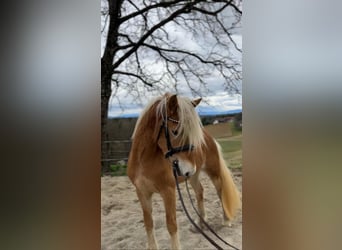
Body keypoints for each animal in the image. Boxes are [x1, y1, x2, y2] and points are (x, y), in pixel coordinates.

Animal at [126, 93, 240, 250]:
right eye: (175, 131)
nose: (188, 169)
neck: (144, 161)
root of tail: (208, 137)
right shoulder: (142, 193)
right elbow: (148, 223)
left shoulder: (168, 191)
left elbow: (171, 224)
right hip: (193, 176)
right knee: (199, 191)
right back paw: (200, 223)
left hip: (213, 172)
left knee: (220, 191)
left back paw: (226, 220)